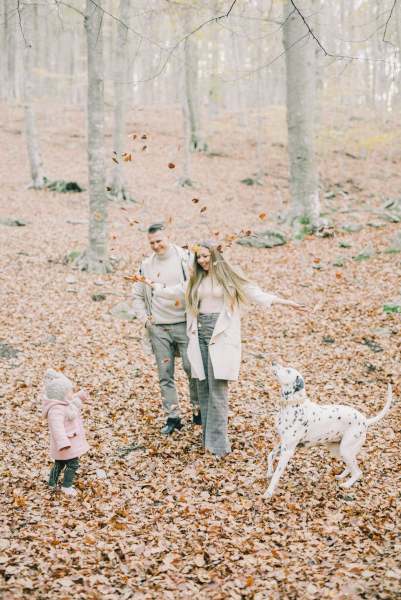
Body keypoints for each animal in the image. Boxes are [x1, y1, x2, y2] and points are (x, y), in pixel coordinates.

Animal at [262, 364, 390, 500]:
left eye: (288, 371)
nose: (273, 363)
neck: (293, 405)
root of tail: (365, 420)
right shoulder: (282, 443)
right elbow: (270, 455)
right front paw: (269, 471)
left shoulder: (287, 451)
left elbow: (276, 475)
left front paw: (269, 492)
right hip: (338, 449)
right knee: (352, 465)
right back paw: (342, 476)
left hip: (345, 450)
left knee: (358, 472)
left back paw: (346, 484)